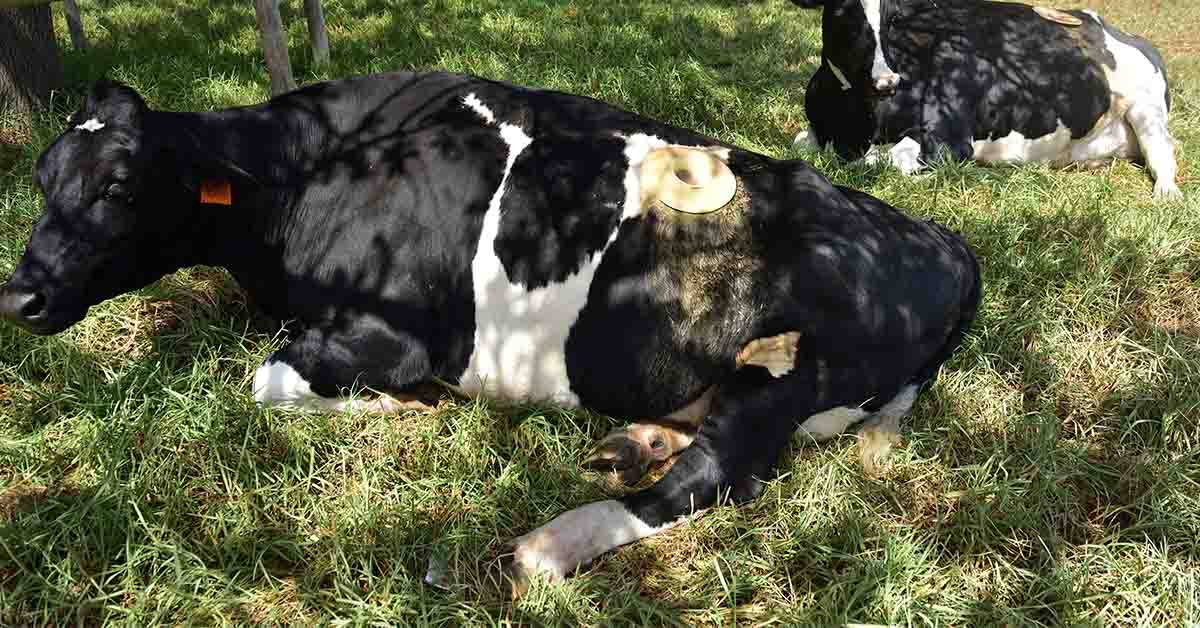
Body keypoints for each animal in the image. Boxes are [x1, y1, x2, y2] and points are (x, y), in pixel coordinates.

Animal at [0, 72, 980, 592]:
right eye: (43, 177)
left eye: (119, 185)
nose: (19, 299)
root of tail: (942, 239)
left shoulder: (400, 339)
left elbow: (267, 379)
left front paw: (403, 409)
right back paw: (632, 441)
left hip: (781, 371)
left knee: (709, 480)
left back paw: (550, 544)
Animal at [790, 0, 1182, 200]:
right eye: (843, 13)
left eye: (893, 18)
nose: (887, 81)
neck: (854, 125)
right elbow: (802, 143)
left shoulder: (949, 142)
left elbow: (882, 162)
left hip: (1147, 108)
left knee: (1163, 154)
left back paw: (1167, 192)